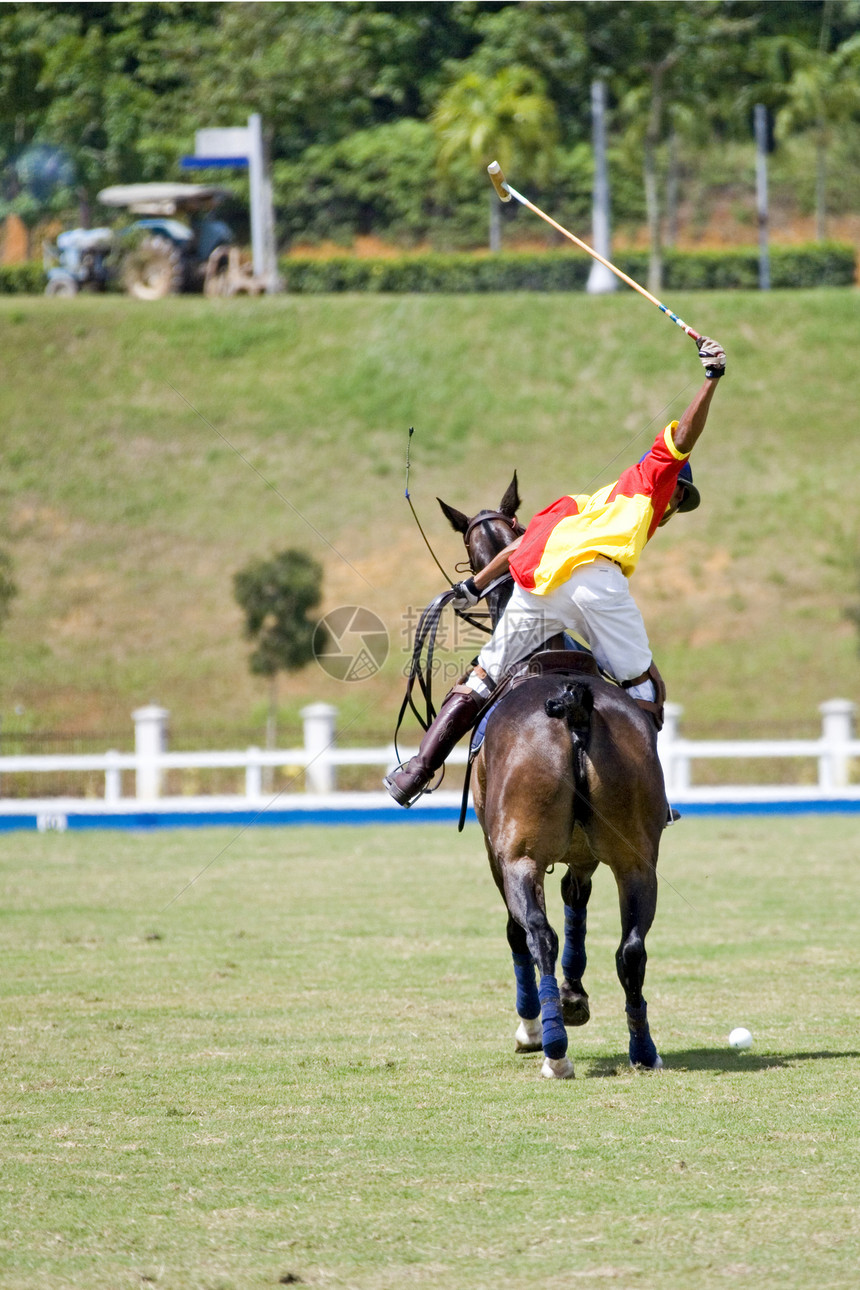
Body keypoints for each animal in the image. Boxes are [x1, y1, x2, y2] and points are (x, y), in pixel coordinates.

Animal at [440, 474, 670, 1078]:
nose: (465, 590)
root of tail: (576, 707)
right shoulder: (586, 854)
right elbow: (576, 901)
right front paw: (574, 997)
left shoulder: (498, 851)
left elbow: (519, 929)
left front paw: (539, 1019)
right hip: (637, 857)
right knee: (632, 947)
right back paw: (643, 1048)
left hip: (518, 855)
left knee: (536, 933)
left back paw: (551, 1046)